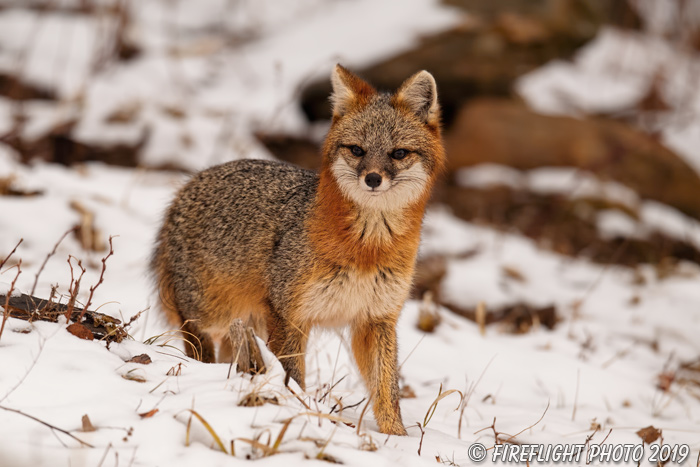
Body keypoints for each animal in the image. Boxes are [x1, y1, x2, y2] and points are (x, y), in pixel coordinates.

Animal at [154, 65, 448, 436]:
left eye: (398, 153)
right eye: (357, 150)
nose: (372, 179)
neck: (366, 249)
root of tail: (186, 187)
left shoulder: (376, 319)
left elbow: (387, 389)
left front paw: (397, 438)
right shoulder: (290, 315)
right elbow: (293, 377)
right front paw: (304, 414)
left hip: (248, 325)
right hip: (211, 316)